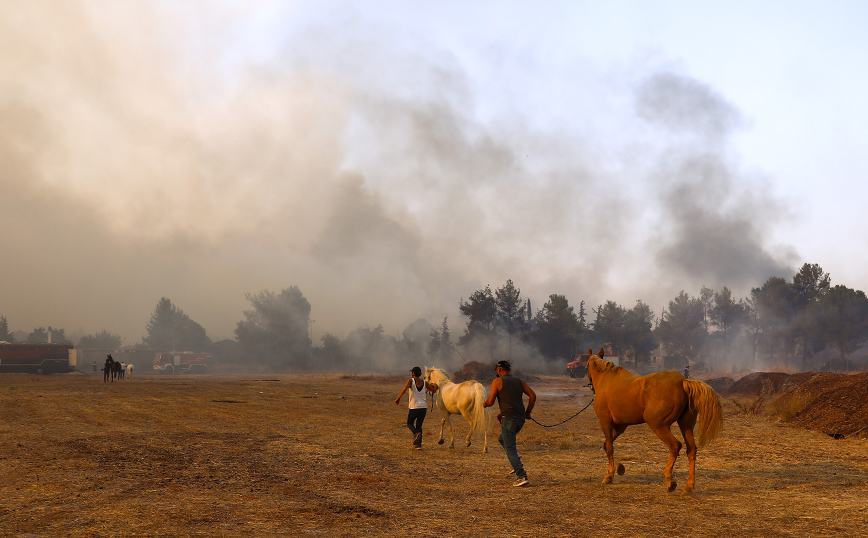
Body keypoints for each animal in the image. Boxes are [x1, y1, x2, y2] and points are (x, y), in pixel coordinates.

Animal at [588, 346, 724, 492]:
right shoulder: (620, 426)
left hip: (658, 426)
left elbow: (609, 447)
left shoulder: (605, 422)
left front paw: (609, 476)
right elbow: (607, 444)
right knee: (691, 450)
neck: (606, 380)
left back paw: (670, 479)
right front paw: (618, 467)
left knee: (675, 446)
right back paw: (689, 485)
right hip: (686, 425)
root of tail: (683, 381)